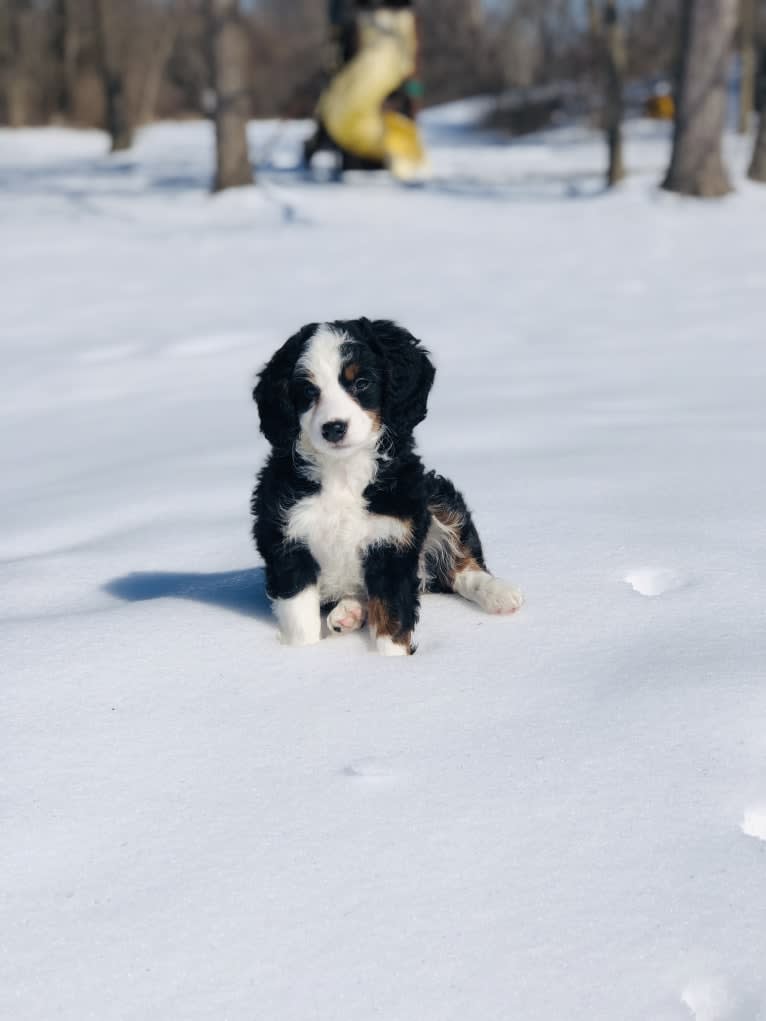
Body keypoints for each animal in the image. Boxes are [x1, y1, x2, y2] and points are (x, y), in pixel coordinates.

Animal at [255, 314, 527, 657]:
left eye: (361, 383)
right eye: (307, 390)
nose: (333, 428)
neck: (343, 472)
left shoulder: (395, 540)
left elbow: (393, 620)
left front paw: (390, 663)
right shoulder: (286, 539)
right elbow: (300, 620)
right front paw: (303, 655)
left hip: (437, 495)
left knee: (461, 566)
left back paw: (499, 594)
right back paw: (349, 612)